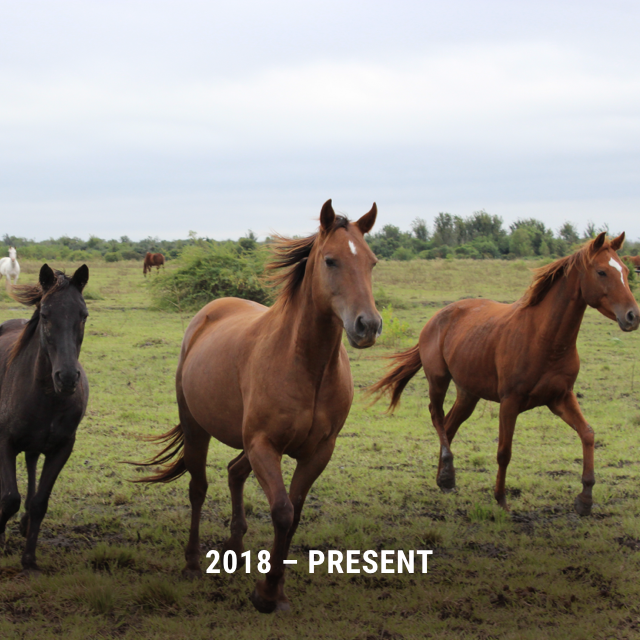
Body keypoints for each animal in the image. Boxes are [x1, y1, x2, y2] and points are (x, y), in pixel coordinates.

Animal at [0, 264, 89, 574]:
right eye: (46, 314)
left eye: (83, 315)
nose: (67, 377)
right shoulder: (5, 443)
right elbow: (9, 498)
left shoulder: (62, 448)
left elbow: (40, 502)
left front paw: (29, 558)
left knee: (31, 464)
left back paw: (26, 524)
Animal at [135, 200, 382, 613]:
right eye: (331, 260)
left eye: (372, 262)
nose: (368, 325)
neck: (307, 366)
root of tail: (209, 311)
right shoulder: (265, 444)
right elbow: (281, 511)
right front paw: (266, 594)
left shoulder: (318, 452)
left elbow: (294, 513)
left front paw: (275, 588)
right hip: (198, 429)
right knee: (198, 487)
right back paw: (192, 563)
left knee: (235, 473)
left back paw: (233, 550)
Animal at [370, 232, 639, 516]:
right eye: (601, 272)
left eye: (624, 270)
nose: (633, 316)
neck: (545, 338)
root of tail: (437, 317)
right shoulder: (510, 402)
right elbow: (504, 451)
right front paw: (500, 499)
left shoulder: (561, 397)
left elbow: (588, 434)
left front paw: (585, 498)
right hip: (438, 380)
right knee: (437, 416)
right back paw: (447, 475)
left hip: (468, 393)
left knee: (450, 424)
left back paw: (443, 478)